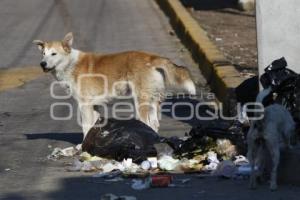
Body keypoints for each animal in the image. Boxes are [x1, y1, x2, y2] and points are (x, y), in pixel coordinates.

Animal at [33, 32, 197, 138]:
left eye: (54, 54)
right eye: (43, 54)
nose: (42, 64)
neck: (70, 64)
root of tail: (152, 57)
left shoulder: (84, 105)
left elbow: (86, 127)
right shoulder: (94, 105)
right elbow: (93, 127)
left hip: (140, 102)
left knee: (148, 123)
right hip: (153, 101)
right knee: (155, 124)